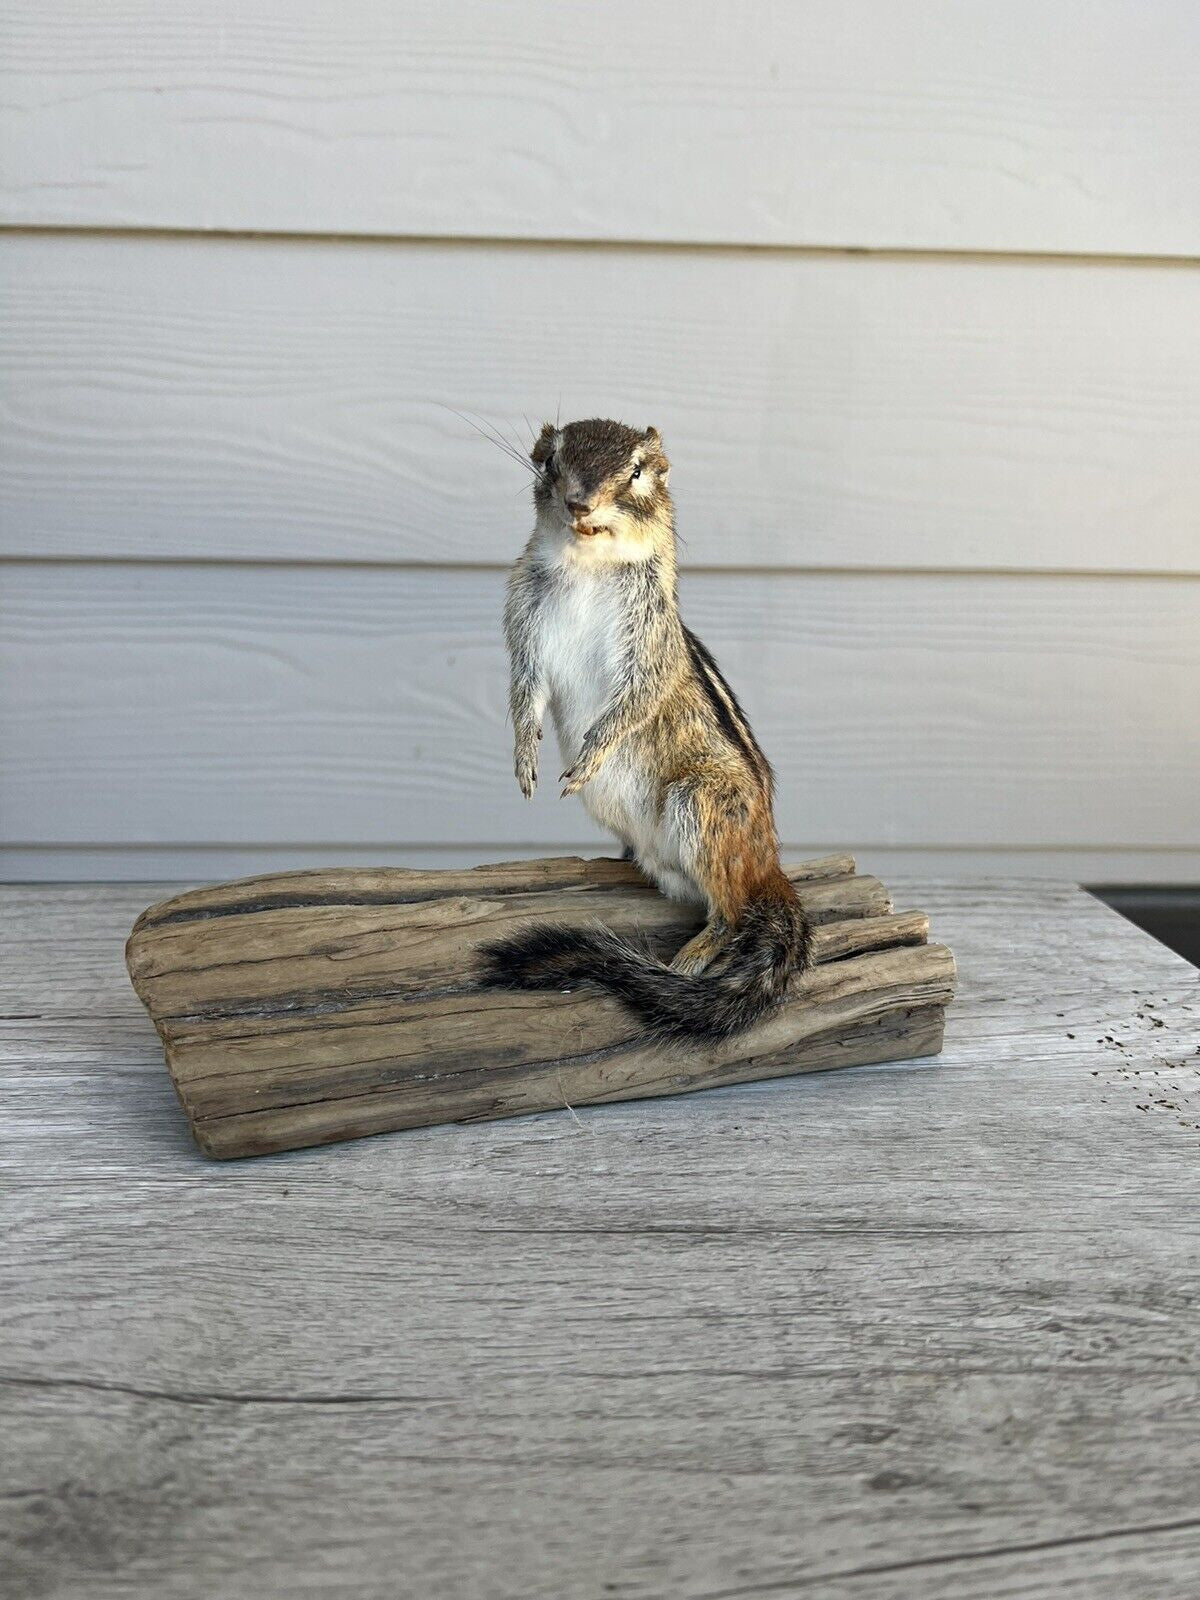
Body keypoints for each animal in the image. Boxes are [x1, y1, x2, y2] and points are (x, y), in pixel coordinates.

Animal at [477, 417, 810, 1042]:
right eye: (551, 459)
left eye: (636, 471)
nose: (579, 501)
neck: (588, 565)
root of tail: (768, 865)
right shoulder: (523, 624)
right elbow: (524, 691)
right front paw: (523, 756)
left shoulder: (651, 639)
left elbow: (637, 698)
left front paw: (589, 756)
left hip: (702, 803)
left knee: (732, 913)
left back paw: (695, 953)